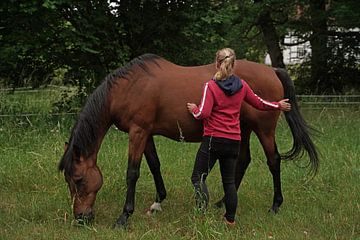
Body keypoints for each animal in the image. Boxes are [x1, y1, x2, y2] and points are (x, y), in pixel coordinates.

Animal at [58, 54, 318, 229]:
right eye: (68, 181)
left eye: (79, 180)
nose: (81, 218)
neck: (128, 88)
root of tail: (272, 71)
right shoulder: (146, 133)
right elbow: (155, 165)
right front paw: (158, 202)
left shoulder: (138, 132)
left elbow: (132, 173)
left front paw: (124, 217)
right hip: (242, 129)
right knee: (243, 161)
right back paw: (222, 203)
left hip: (264, 130)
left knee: (273, 162)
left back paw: (275, 206)